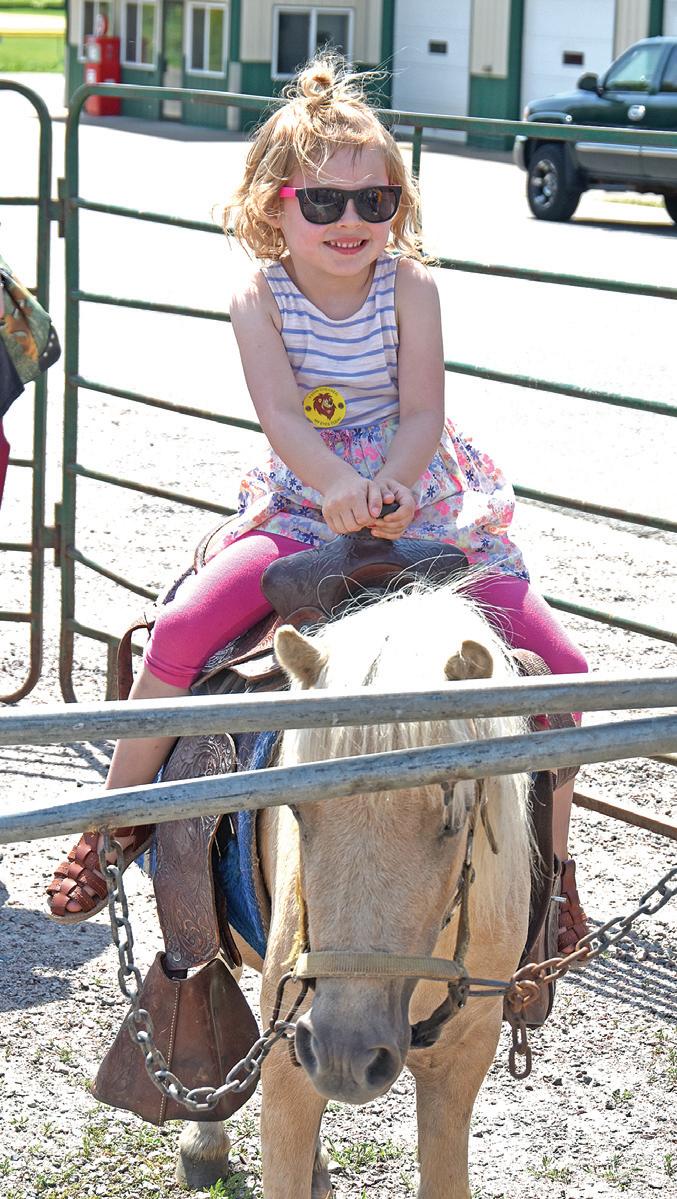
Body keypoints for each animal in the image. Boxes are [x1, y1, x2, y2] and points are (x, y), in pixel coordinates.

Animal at [175, 581, 533, 1199]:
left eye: (453, 819)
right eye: (294, 807)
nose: (344, 1053)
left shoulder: (463, 1059)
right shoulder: (286, 1059)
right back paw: (205, 1144)